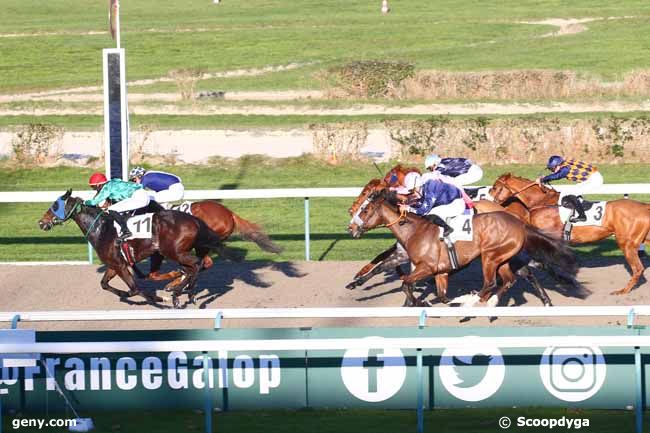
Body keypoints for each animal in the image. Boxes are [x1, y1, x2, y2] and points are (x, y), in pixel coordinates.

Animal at [346, 191, 576, 306]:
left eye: (365, 209)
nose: (351, 228)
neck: (414, 229)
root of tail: (517, 221)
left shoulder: (427, 267)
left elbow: (405, 283)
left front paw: (416, 302)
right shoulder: (436, 270)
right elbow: (439, 294)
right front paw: (355, 282)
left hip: (490, 257)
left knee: (495, 281)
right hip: (501, 259)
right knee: (511, 279)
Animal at [488, 172, 644, 294]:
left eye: (495, 187)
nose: (491, 203)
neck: (542, 201)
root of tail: (644, 207)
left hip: (626, 244)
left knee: (638, 268)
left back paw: (623, 290)